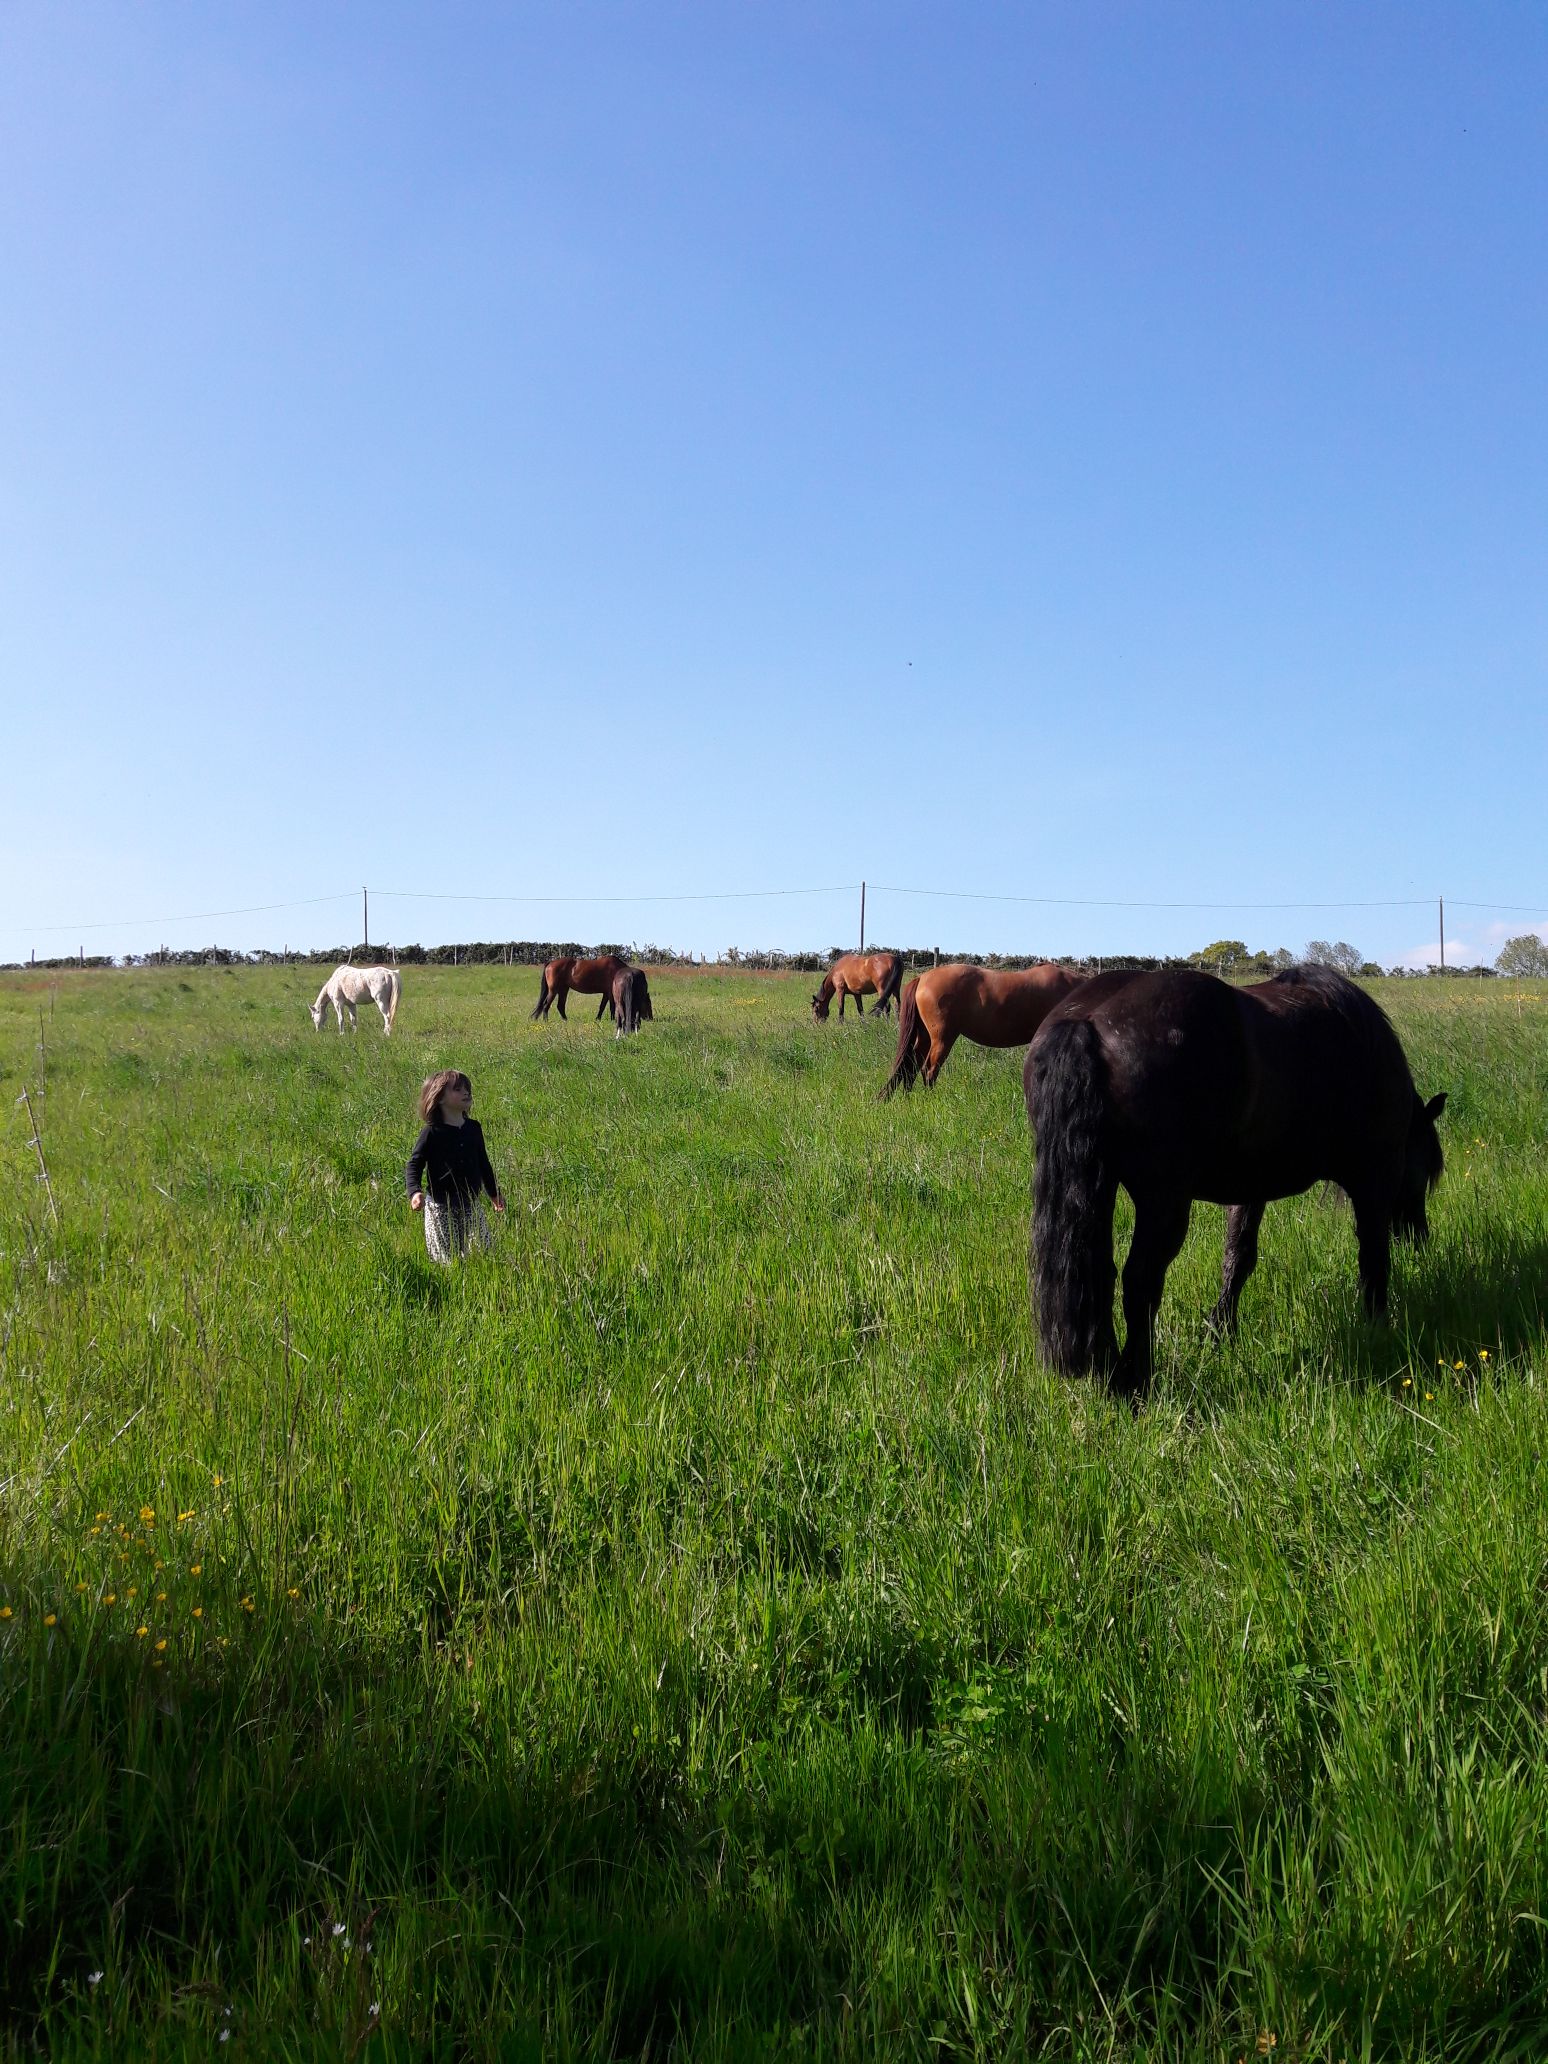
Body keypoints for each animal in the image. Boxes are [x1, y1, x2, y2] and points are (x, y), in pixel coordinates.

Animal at [1025, 964, 1446, 1403]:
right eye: (1424, 1170)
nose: (1420, 1240)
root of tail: (1087, 1022)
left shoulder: (1251, 1188)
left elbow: (1238, 1257)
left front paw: (1220, 1330)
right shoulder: (1374, 1179)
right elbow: (1373, 1257)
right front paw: (1378, 1327)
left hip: (1101, 1187)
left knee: (1101, 1275)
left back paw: (1108, 1371)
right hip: (1163, 1201)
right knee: (1140, 1281)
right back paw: (1134, 1381)